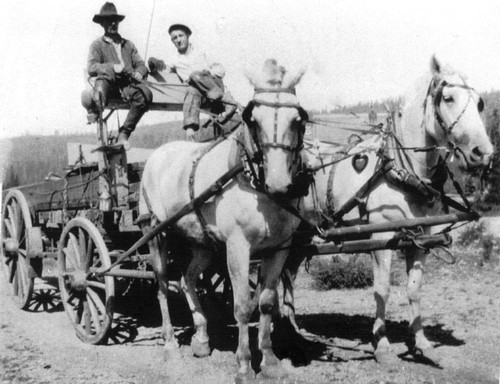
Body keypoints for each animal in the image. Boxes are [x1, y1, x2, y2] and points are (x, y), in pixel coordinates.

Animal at [139, 61, 306, 382]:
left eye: (297, 119)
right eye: (254, 119)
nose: (279, 183)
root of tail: (156, 155)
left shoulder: (280, 248)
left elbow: (267, 302)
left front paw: (269, 360)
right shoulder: (238, 248)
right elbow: (242, 307)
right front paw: (244, 365)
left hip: (201, 243)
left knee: (188, 279)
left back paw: (202, 338)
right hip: (156, 233)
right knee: (163, 285)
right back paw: (170, 345)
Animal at [282, 56, 492, 366]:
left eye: (480, 103)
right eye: (448, 98)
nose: (483, 153)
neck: (404, 171)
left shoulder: (420, 238)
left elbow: (414, 289)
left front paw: (422, 345)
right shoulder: (382, 238)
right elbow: (382, 290)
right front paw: (381, 345)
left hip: (303, 233)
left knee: (288, 274)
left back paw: (290, 328)